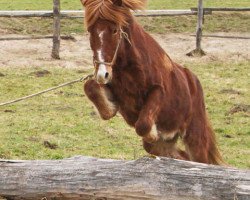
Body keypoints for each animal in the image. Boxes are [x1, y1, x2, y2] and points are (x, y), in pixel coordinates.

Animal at [81, 0, 223, 164]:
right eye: (90, 31)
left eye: (115, 30)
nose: (102, 73)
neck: (129, 67)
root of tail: (194, 82)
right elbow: (89, 87)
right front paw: (110, 108)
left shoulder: (158, 91)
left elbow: (143, 125)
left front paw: (153, 133)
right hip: (165, 145)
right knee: (179, 155)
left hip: (195, 137)